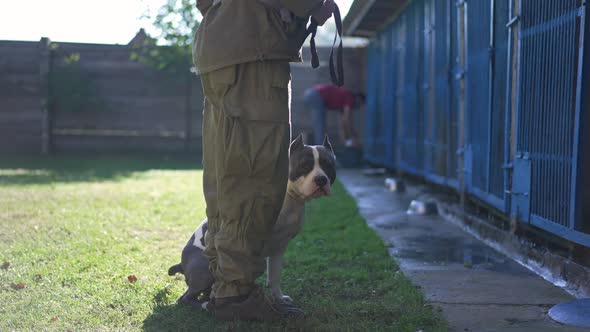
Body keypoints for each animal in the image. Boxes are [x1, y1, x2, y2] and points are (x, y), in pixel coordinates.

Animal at [171, 134, 338, 308]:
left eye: (328, 165)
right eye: (304, 166)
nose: (321, 179)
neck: (290, 200)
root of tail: (182, 263)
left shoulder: (279, 248)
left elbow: (274, 277)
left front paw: (279, 299)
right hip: (204, 269)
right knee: (185, 298)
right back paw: (205, 304)